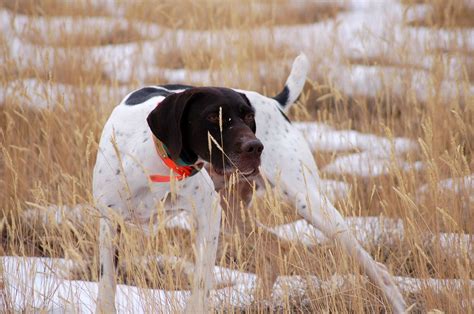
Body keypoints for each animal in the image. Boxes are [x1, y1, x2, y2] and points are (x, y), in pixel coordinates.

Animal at [93, 54, 408, 312]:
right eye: (213, 116)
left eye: (249, 116)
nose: (256, 147)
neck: (155, 160)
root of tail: (275, 102)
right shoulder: (110, 224)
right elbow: (107, 289)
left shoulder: (208, 215)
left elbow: (201, 285)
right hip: (234, 213)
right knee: (272, 251)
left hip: (310, 204)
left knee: (377, 269)